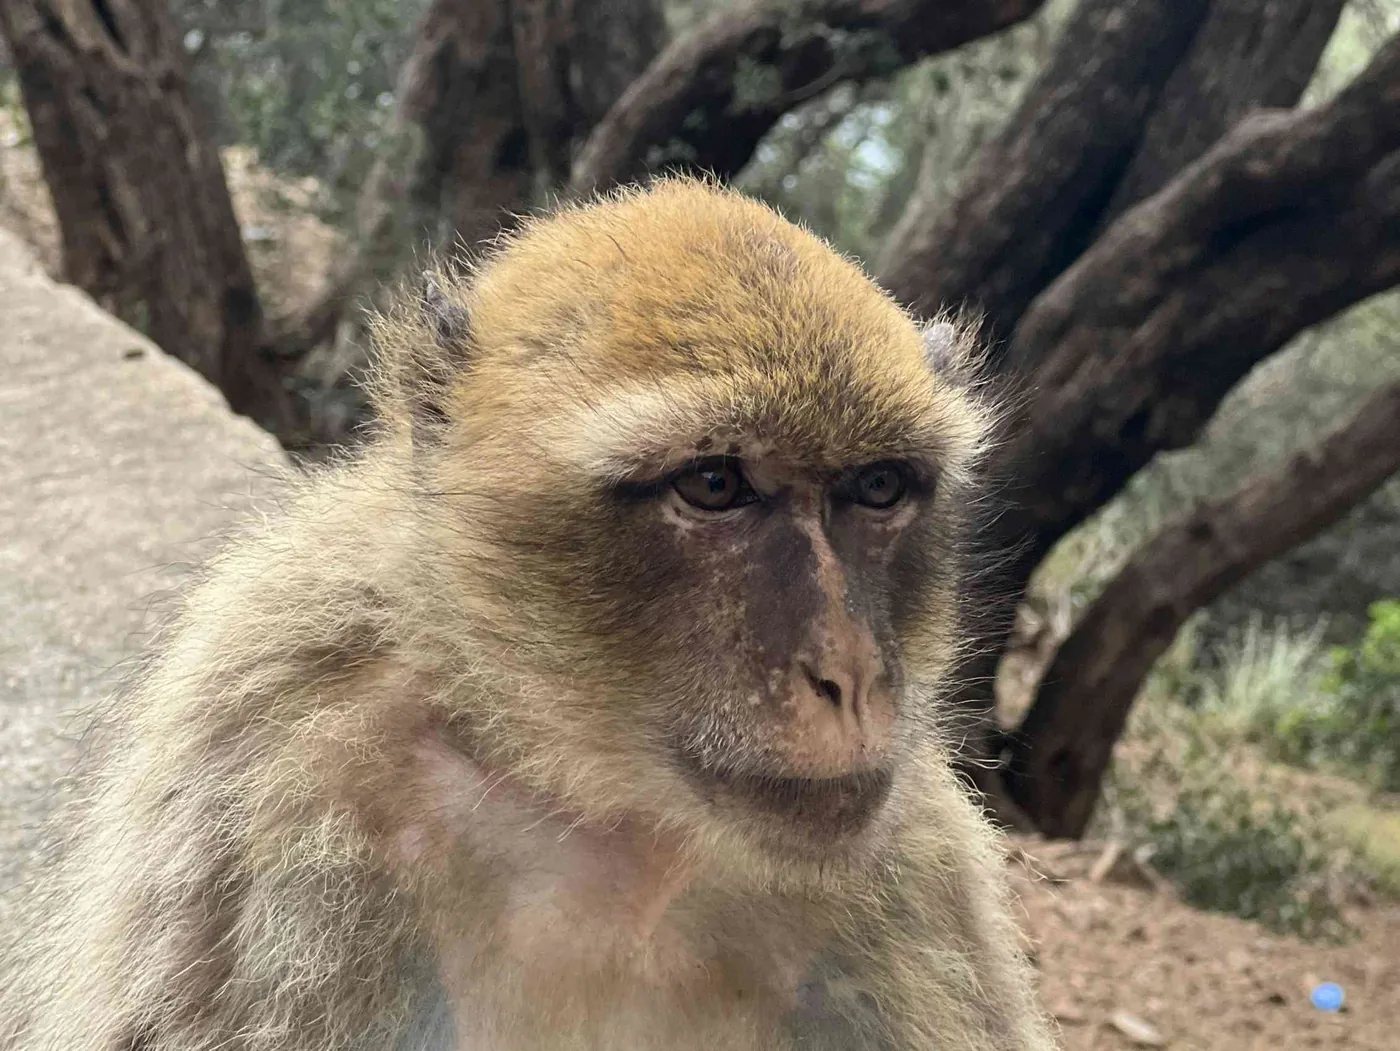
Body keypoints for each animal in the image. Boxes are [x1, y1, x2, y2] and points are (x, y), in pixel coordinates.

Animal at [1, 177, 1055, 1051]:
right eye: (715, 484)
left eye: (878, 488)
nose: (852, 671)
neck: (592, 793)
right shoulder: (280, 772)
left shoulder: (911, 856)